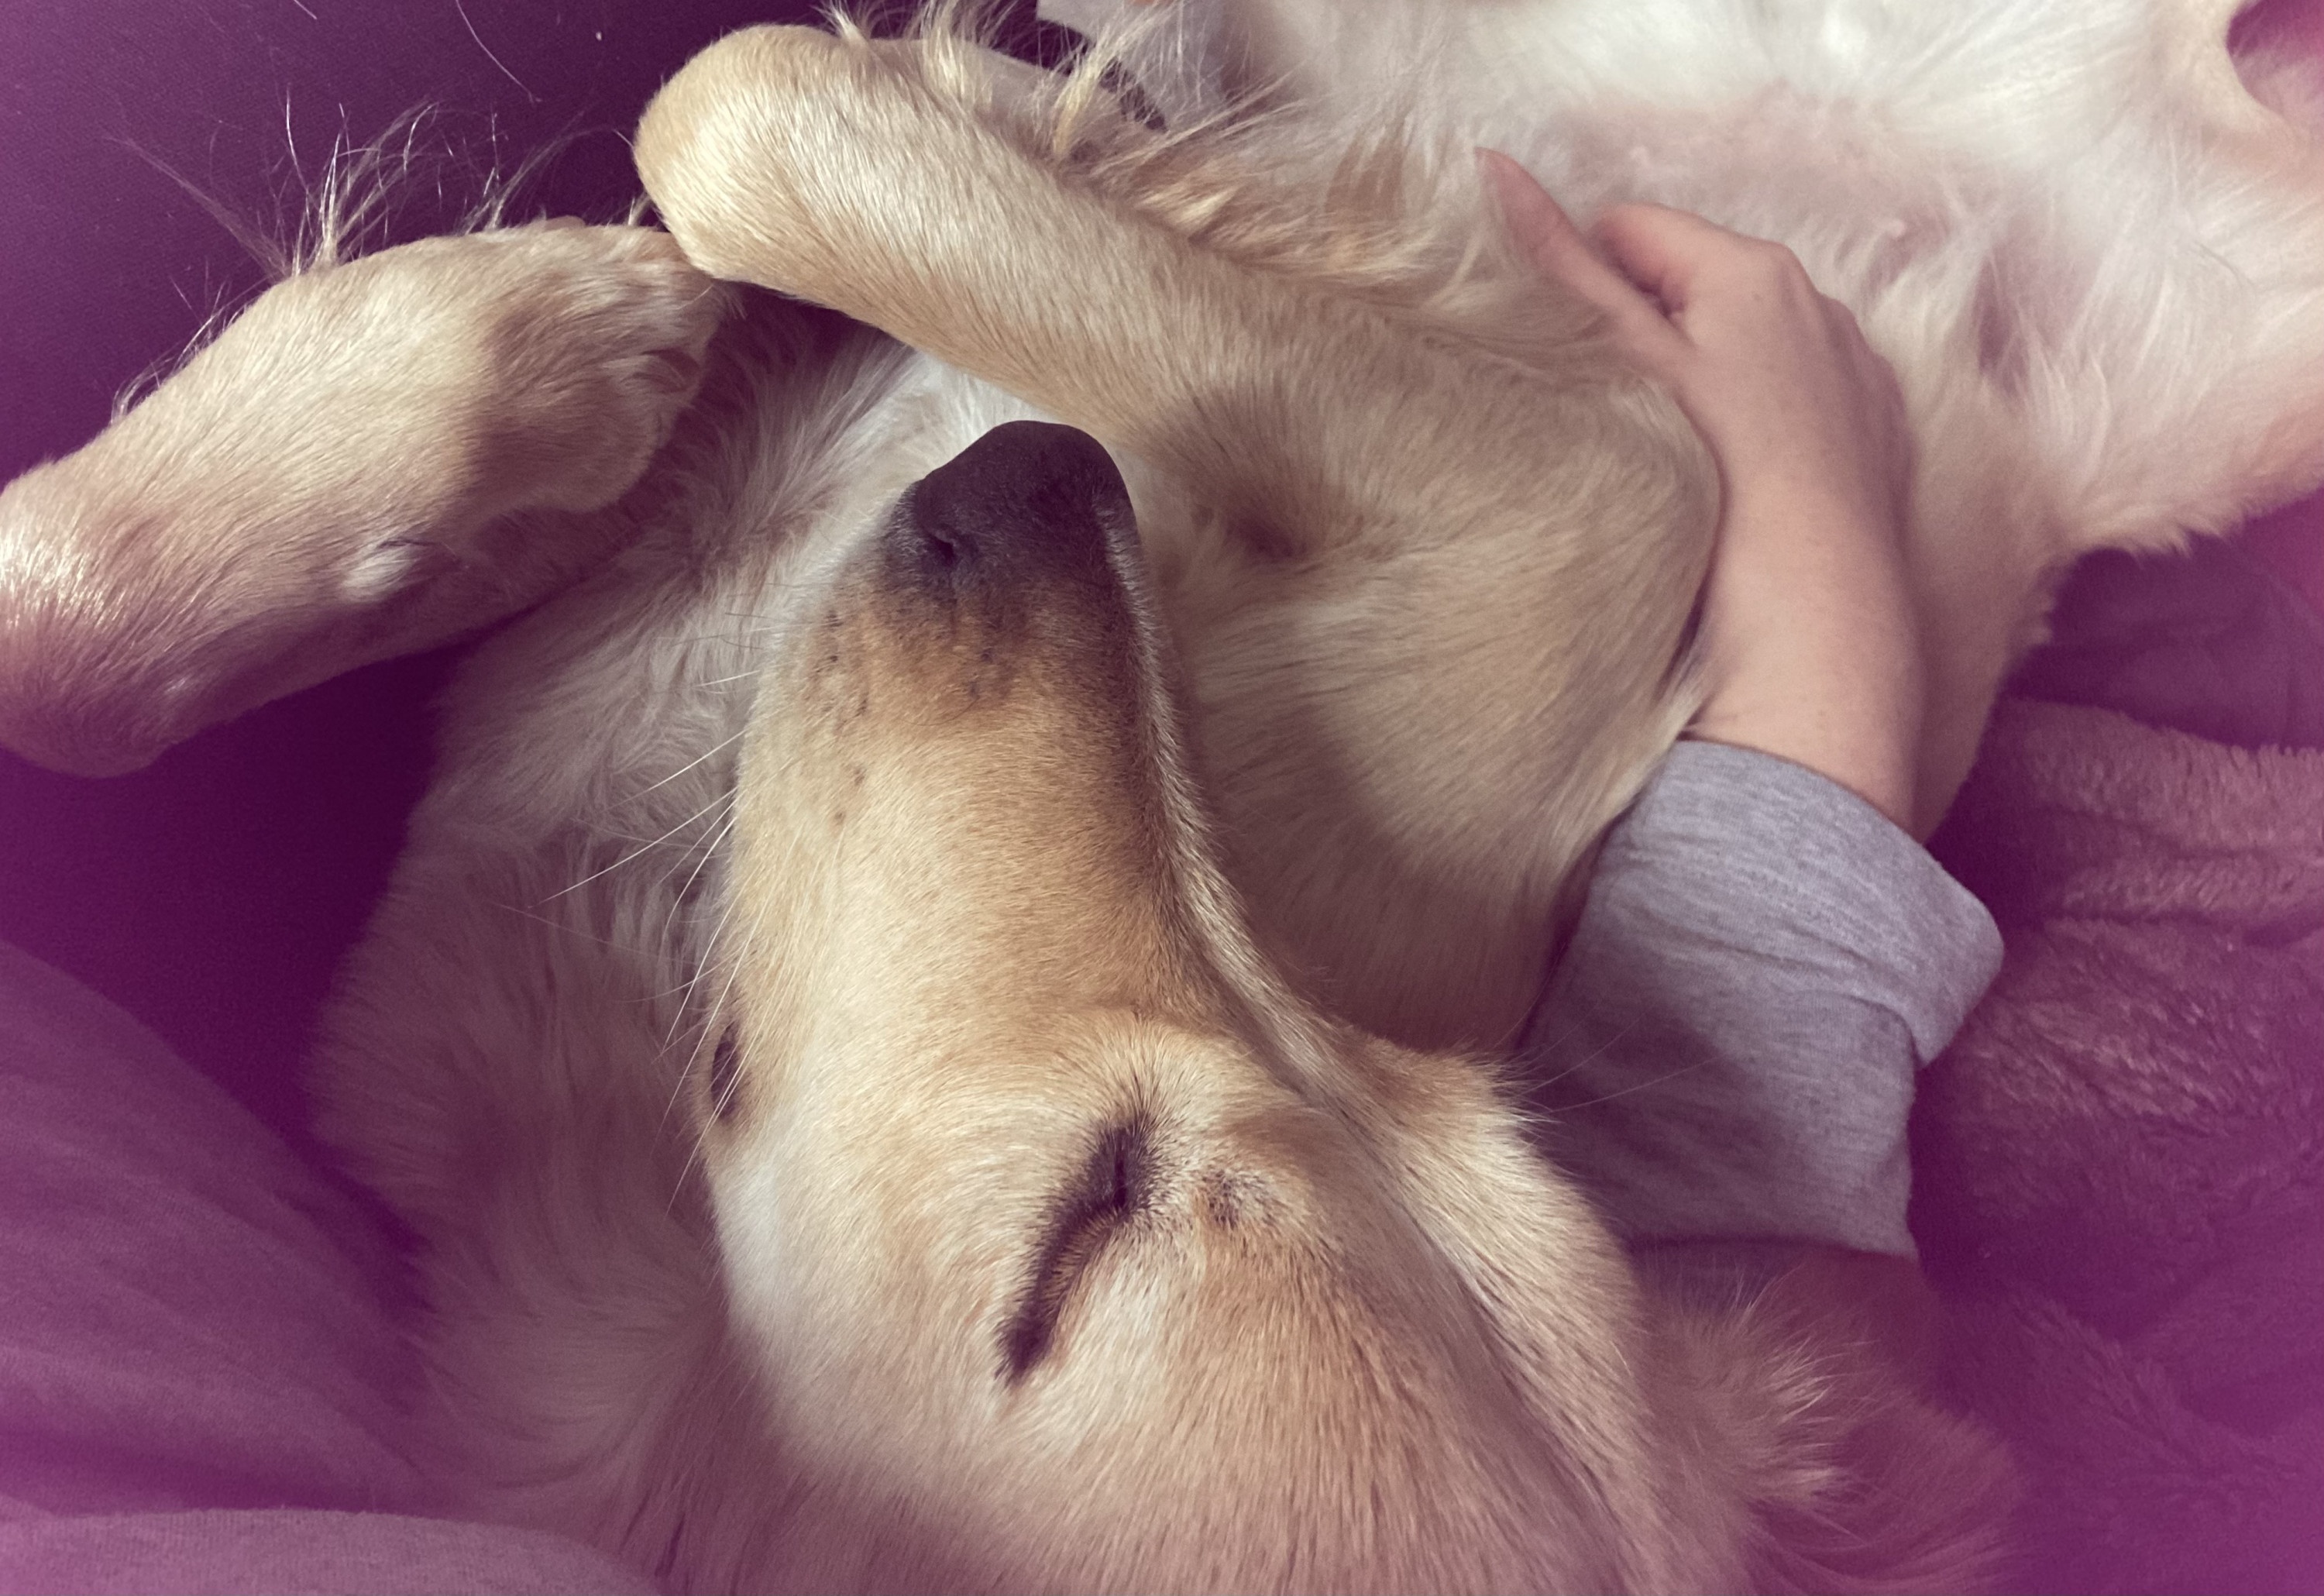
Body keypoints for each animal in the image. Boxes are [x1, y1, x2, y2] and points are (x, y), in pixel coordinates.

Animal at [3, 0, 2322, 1588]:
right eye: (1433, 1082)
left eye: (1086, 1222)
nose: (1036, 492)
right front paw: (456, 415)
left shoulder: (1607, 486)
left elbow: (738, 112)